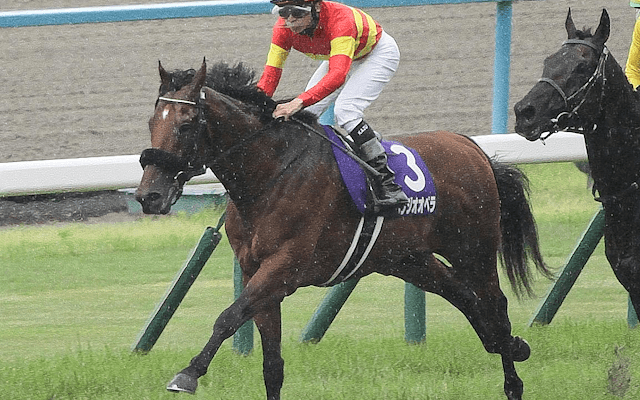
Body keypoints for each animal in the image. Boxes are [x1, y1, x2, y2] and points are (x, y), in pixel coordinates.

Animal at [135, 59, 552, 400]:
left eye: (186, 124)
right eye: (152, 123)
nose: (148, 195)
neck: (272, 173)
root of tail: (472, 146)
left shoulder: (284, 268)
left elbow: (228, 316)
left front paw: (188, 374)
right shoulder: (256, 271)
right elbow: (271, 364)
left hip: (472, 249)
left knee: (494, 304)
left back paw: (513, 380)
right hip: (409, 260)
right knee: (466, 298)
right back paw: (513, 345)